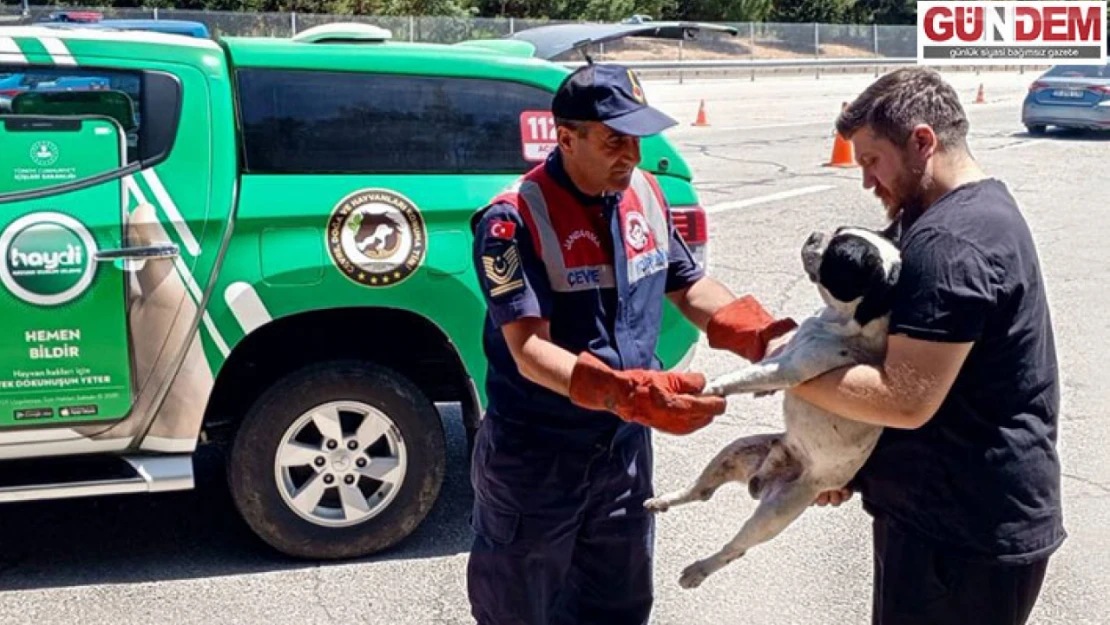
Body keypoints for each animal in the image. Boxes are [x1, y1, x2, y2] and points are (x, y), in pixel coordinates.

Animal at [643, 226, 901, 590]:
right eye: (837, 233)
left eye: (838, 253)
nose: (815, 234)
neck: (841, 321)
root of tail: (764, 477)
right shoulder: (786, 353)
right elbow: (766, 361)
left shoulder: (789, 368)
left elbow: (743, 376)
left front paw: (706, 387)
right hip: (736, 450)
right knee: (701, 490)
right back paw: (665, 500)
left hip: (774, 513)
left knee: (735, 548)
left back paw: (699, 569)